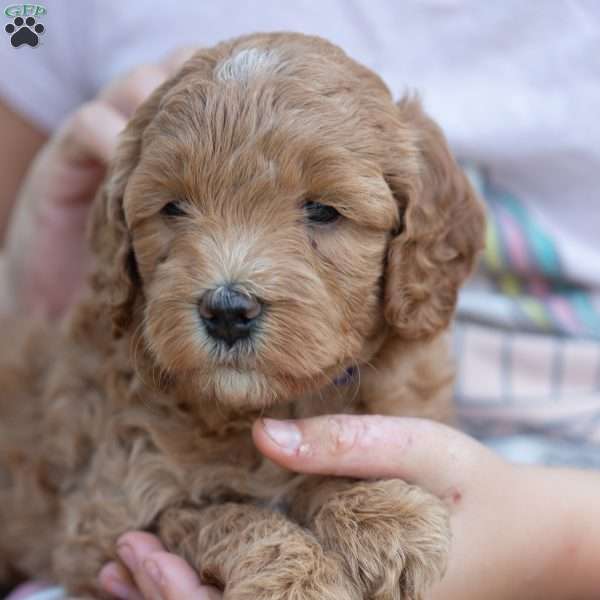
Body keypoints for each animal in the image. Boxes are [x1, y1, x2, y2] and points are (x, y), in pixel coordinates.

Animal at [0, 34, 486, 600]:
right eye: (173, 208)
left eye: (322, 210)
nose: (227, 311)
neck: (255, 405)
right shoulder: (109, 514)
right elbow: (225, 515)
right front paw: (298, 578)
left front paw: (385, 518)